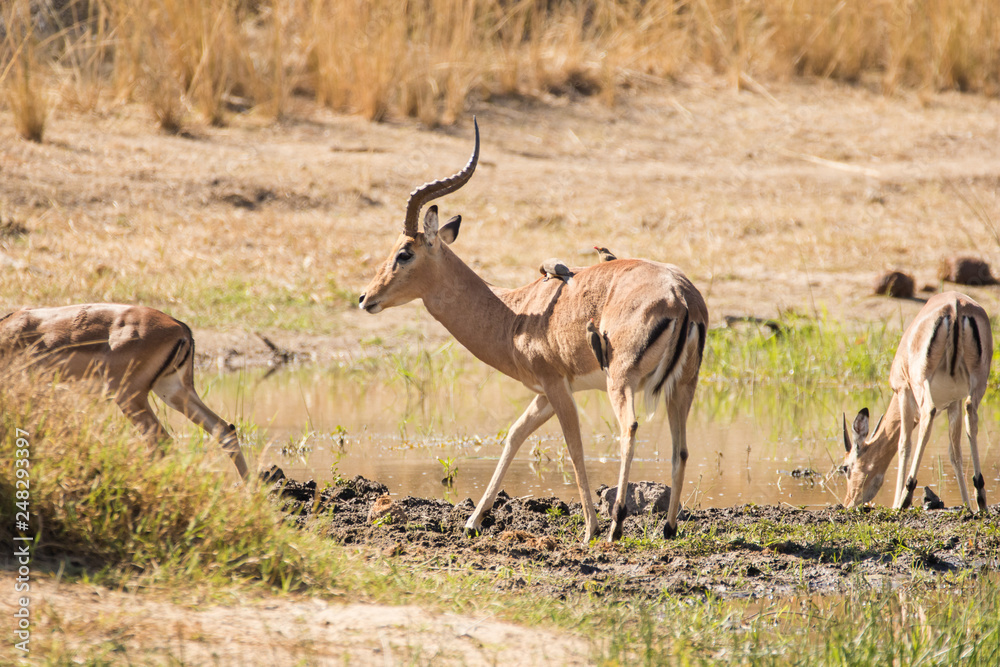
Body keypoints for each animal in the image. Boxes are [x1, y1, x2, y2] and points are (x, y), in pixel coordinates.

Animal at [358, 120, 708, 541]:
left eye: (404, 253)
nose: (365, 298)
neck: (516, 314)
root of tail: (681, 295)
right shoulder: (544, 392)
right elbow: (514, 434)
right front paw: (473, 520)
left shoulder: (557, 386)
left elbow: (574, 446)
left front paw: (589, 529)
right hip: (682, 386)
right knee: (680, 449)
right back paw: (668, 529)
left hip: (621, 381)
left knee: (629, 430)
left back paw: (613, 527)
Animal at [843, 291, 992, 512]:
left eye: (845, 467)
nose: (848, 502)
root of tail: (955, 305)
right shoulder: (954, 401)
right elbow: (955, 452)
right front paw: (966, 505)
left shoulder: (903, 391)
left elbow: (904, 445)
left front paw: (896, 503)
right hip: (978, 382)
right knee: (971, 415)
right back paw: (980, 497)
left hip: (922, 383)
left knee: (928, 414)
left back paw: (906, 495)